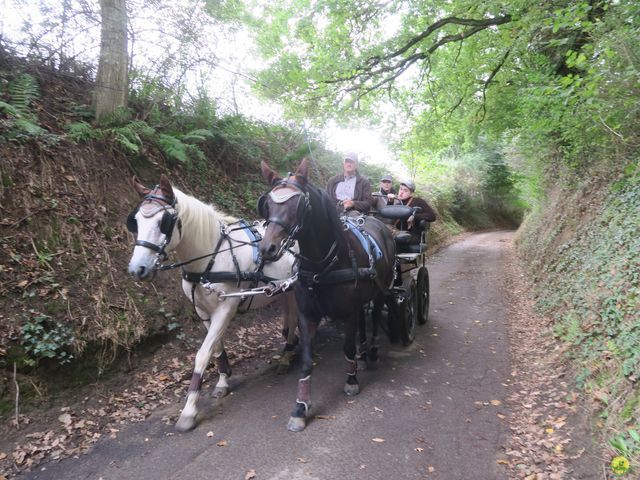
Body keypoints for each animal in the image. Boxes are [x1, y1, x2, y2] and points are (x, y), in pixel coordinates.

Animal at [126, 175, 298, 432]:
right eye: (135, 221)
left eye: (163, 222)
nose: (137, 269)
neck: (211, 257)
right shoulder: (203, 311)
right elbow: (216, 349)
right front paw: (223, 381)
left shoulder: (226, 309)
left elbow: (202, 354)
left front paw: (189, 410)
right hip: (282, 290)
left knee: (297, 318)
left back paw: (288, 355)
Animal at [258, 158, 396, 432]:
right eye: (267, 204)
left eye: (298, 204)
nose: (267, 248)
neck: (322, 265)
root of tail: (381, 226)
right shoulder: (307, 315)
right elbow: (306, 361)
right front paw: (300, 407)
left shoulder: (349, 312)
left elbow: (347, 347)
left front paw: (351, 380)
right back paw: (363, 353)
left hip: (380, 290)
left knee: (375, 318)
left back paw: (372, 352)